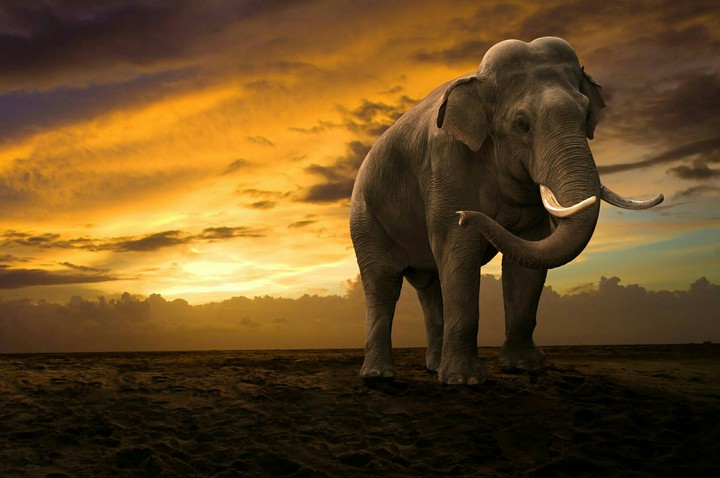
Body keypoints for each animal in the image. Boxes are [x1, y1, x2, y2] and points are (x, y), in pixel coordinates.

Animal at [349, 37, 663, 385]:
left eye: (586, 114)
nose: (465, 216)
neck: (477, 78)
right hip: (365, 219)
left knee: (429, 287)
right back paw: (379, 376)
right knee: (382, 284)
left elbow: (528, 258)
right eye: (522, 124)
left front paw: (522, 367)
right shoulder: (445, 167)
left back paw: (432, 367)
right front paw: (464, 381)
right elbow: (459, 252)